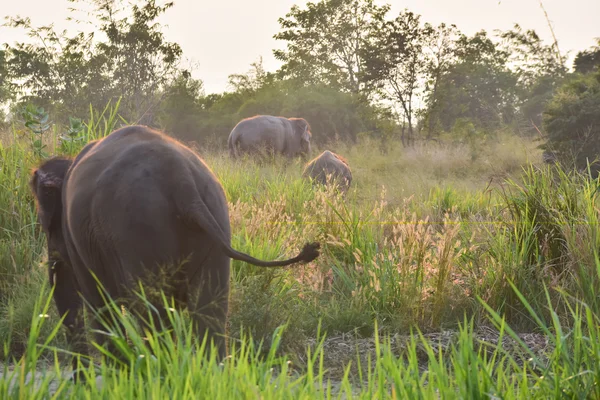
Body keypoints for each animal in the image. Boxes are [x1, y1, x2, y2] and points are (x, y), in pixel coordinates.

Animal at [29, 124, 318, 378]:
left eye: (44, 223)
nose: (79, 379)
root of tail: (182, 180)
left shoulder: (78, 240)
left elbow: (99, 304)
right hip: (214, 216)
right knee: (209, 309)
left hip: (138, 226)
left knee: (153, 311)